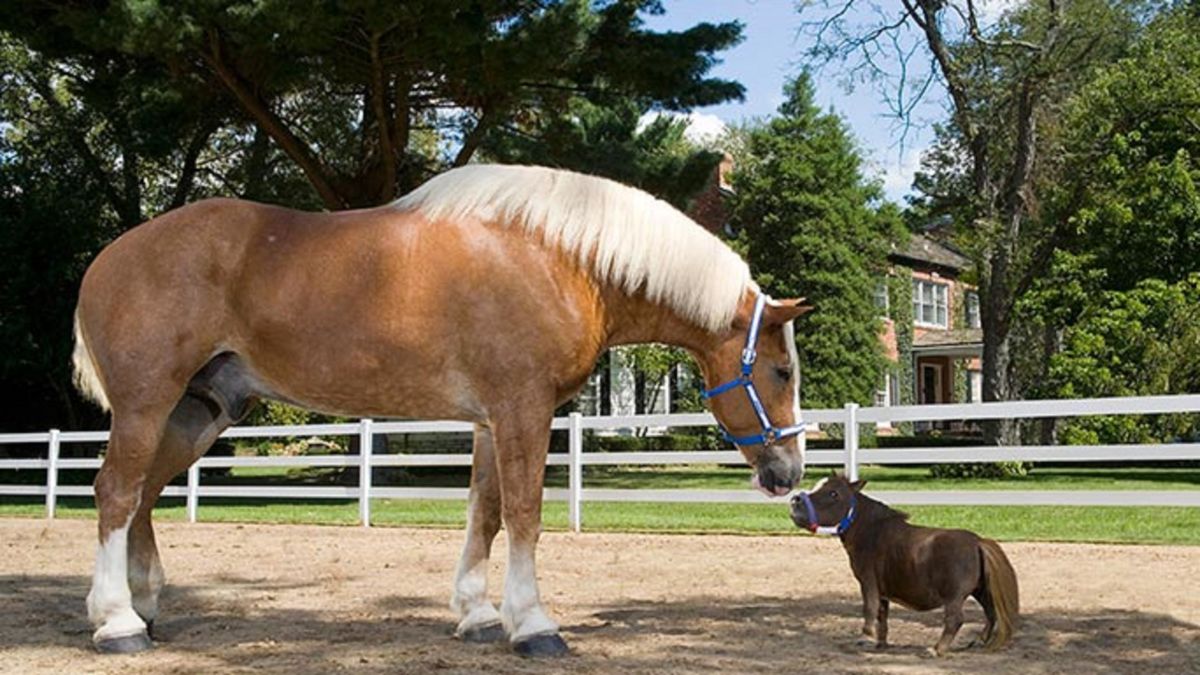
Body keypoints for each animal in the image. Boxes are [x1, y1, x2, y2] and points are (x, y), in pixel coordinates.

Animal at [72, 163, 806, 653]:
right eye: (782, 369)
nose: (789, 474)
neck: (562, 260)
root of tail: (107, 259)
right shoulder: (523, 409)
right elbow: (525, 514)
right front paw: (532, 624)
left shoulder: (490, 420)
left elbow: (485, 514)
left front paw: (479, 615)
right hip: (146, 403)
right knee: (117, 490)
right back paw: (117, 623)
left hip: (202, 410)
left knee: (146, 491)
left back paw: (145, 604)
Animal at [792, 470, 1017, 653]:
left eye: (834, 493)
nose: (795, 501)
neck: (870, 532)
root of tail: (978, 542)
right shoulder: (882, 590)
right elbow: (882, 615)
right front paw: (880, 643)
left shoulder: (868, 582)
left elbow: (869, 609)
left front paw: (865, 637)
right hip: (980, 590)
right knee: (991, 612)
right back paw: (978, 641)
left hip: (954, 596)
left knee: (956, 620)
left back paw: (937, 649)